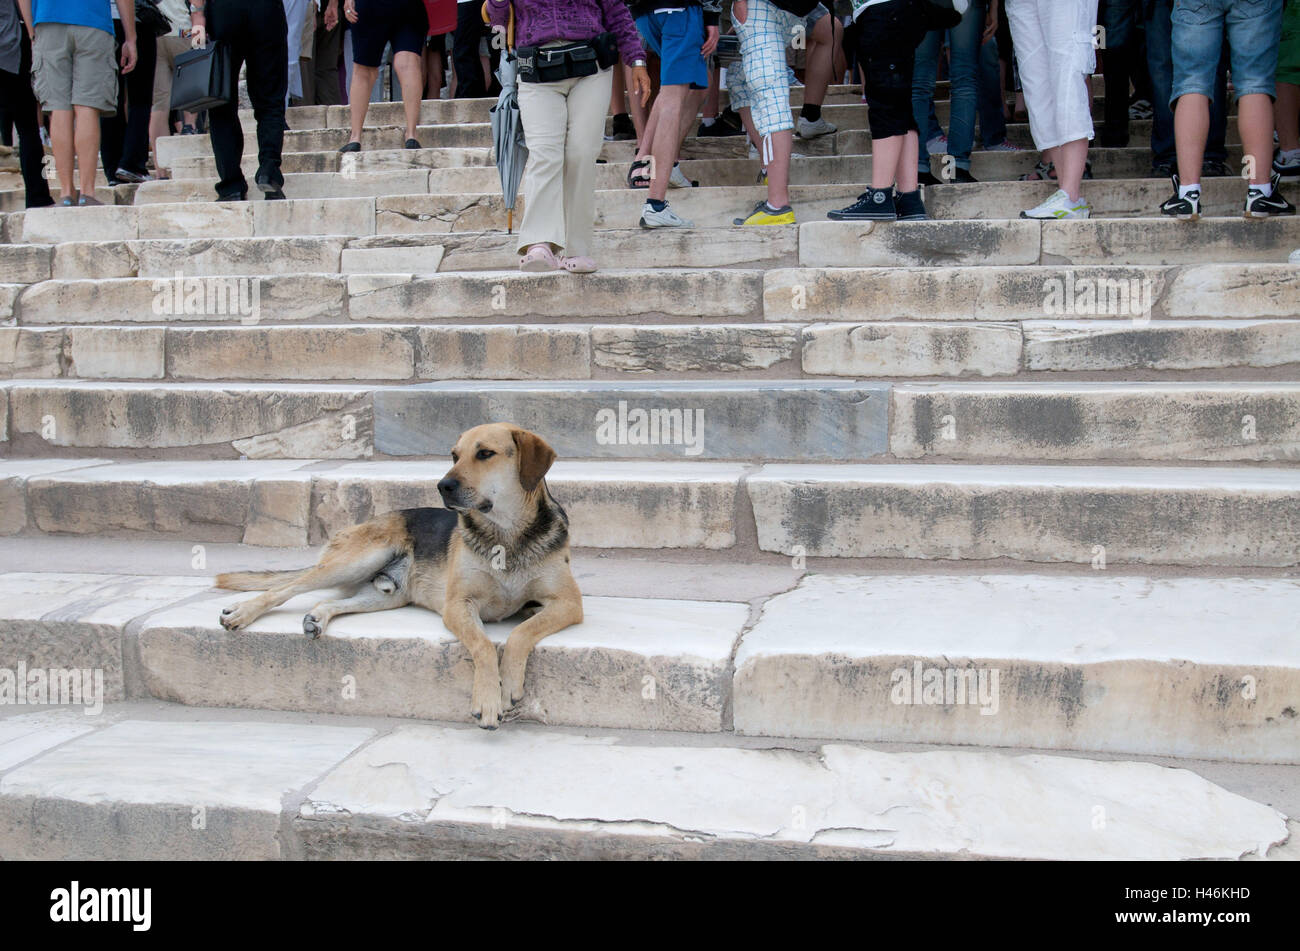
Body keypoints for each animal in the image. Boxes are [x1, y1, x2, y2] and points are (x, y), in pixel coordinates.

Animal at [214, 423, 585, 727]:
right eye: (454, 455)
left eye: (485, 454)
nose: (442, 485)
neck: (506, 535)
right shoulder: (457, 605)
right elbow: (482, 645)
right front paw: (489, 698)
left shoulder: (567, 603)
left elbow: (522, 631)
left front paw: (508, 683)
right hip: (356, 559)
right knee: (286, 588)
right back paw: (242, 612)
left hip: (385, 595)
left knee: (329, 601)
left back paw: (316, 618)